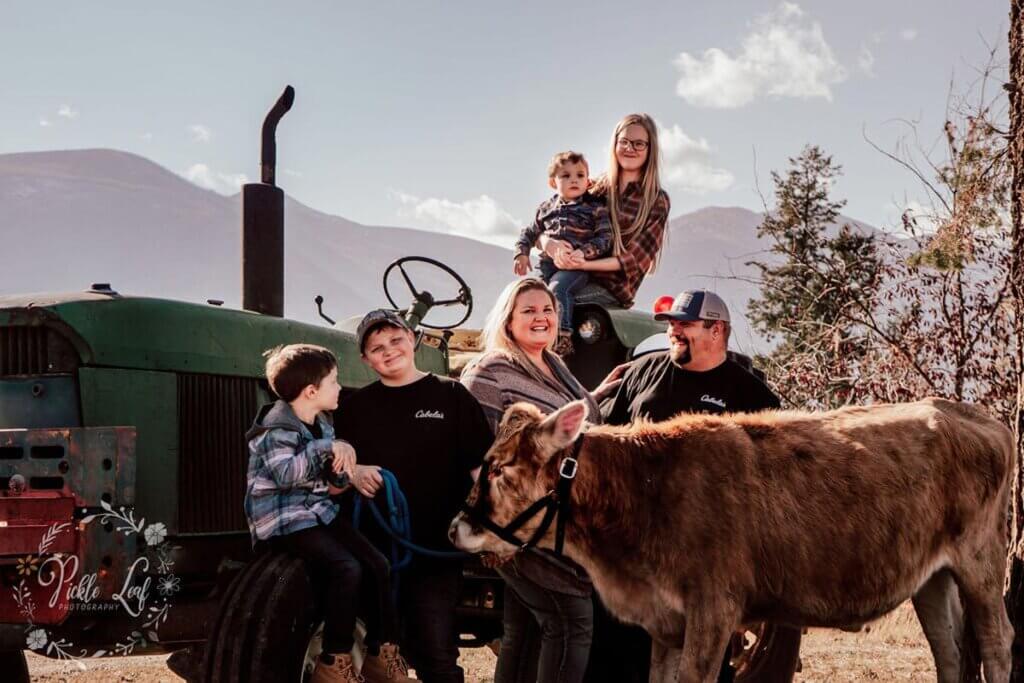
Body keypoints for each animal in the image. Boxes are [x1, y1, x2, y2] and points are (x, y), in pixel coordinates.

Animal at [450, 397, 1015, 679]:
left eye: (497, 468)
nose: (454, 527)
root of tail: (963, 410)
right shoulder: (666, 623)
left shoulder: (714, 609)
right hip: (933, 579)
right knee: (950, 653)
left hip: (982, 565)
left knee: (996, 644)